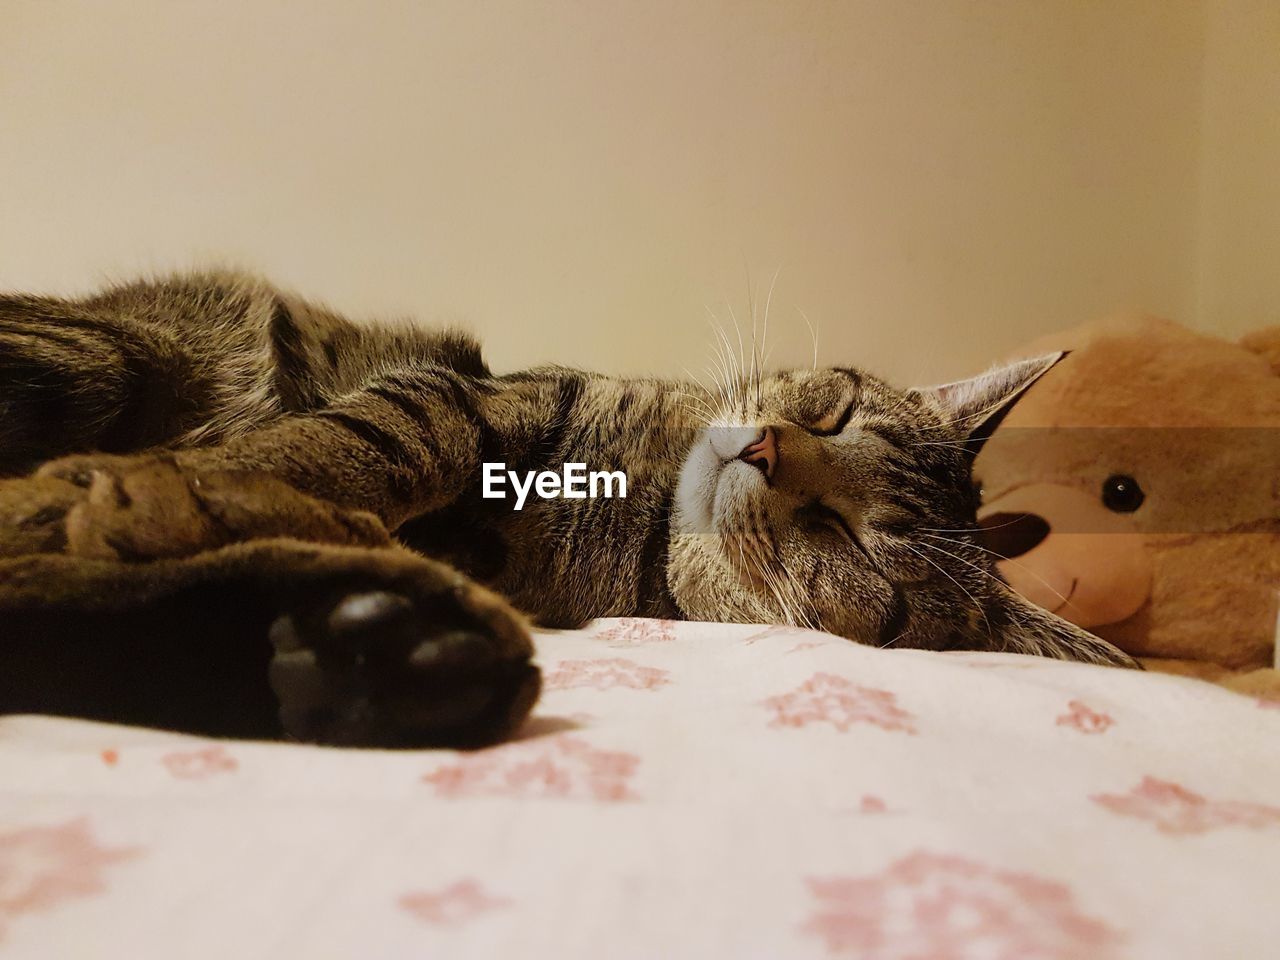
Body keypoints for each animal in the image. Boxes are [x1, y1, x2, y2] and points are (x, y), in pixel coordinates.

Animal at [0, 272, 1136, 752]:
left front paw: (179, 498)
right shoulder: (482, 397)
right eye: (834, 409)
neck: (641, 504)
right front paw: (200, 486)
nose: (765, 448)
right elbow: (365, 445)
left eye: (858, 543)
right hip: (111, 351)